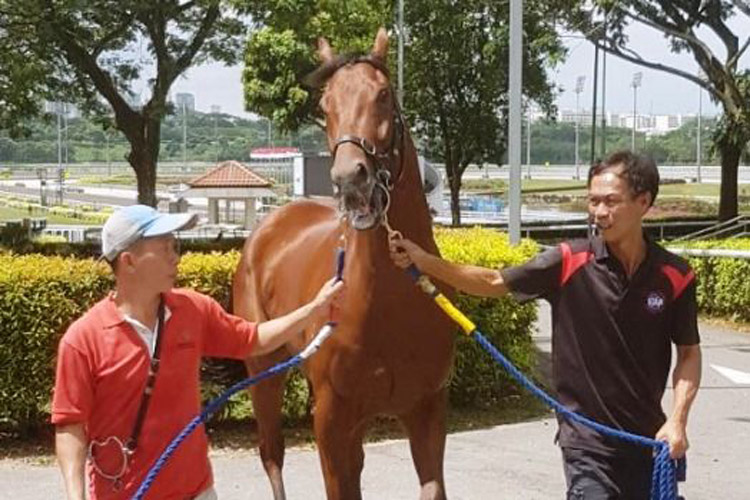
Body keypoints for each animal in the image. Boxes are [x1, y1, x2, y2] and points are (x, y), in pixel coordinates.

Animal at [234, 29, 458, 498]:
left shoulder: (427, 411)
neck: (388, 304)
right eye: (325, 105)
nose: (351, 179)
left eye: (385, 95)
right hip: (263, 372)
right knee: (271, 455)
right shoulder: (333, 421)